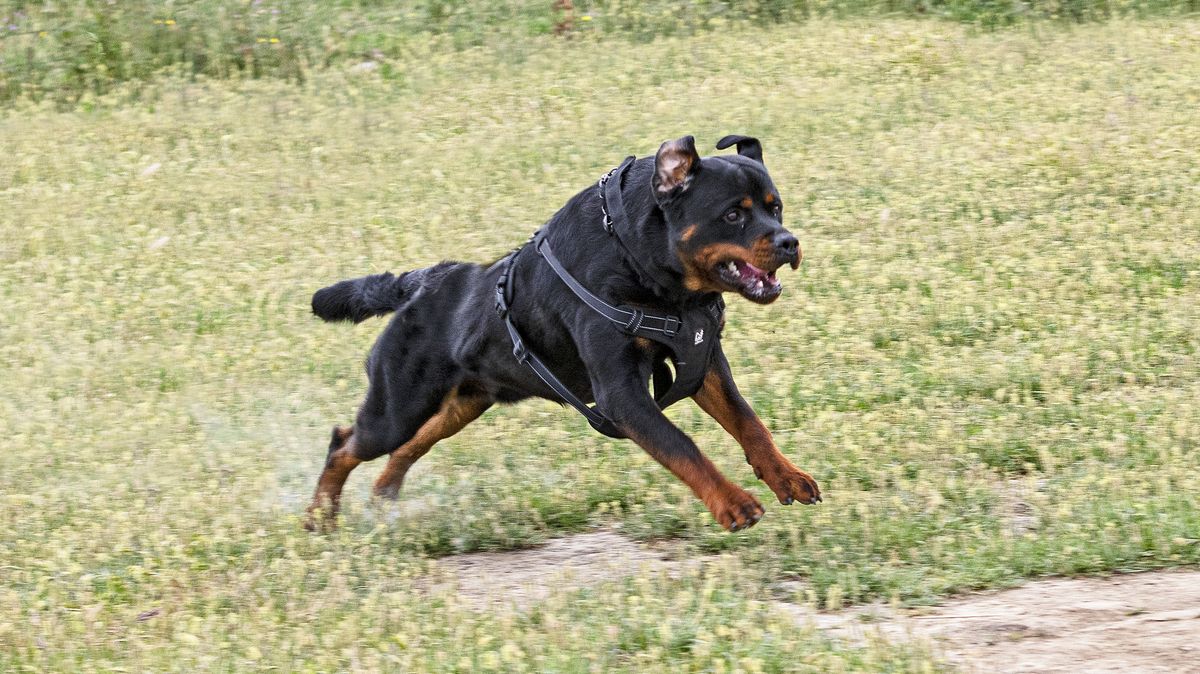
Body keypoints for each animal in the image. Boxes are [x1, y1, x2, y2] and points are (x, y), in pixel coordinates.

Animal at [304, 134, 820, 530]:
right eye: (733, 214)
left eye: (776, 208)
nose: (789, 242)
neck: (644, 264)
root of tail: (422, 283)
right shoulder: (621, 395)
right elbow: (683, 446)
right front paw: (733, 503)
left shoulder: (704, 361)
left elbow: (749, 423)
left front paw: (787, 477)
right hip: (400, 405)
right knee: (345, 443)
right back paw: (320, 517)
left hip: (461, 404)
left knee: (408, 446)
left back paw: (383, 495)